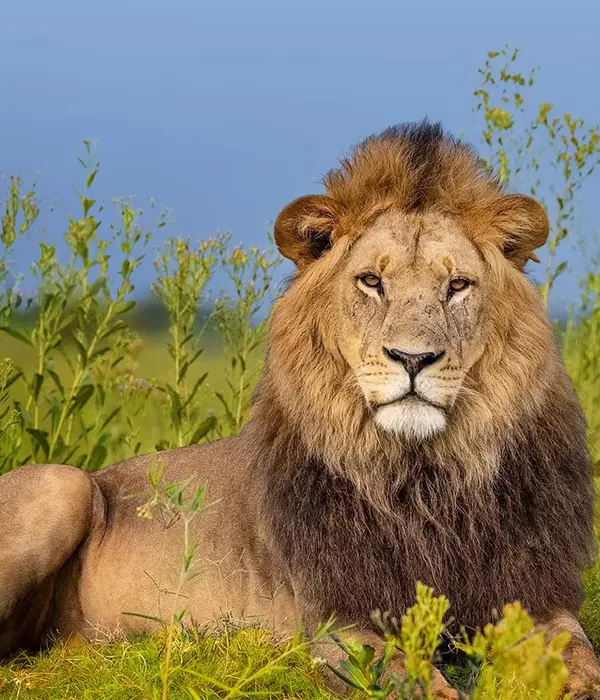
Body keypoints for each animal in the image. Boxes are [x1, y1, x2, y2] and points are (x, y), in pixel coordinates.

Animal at [0, 121, 599, 698]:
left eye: (457, 285)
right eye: (371, 281)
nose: (413, 358)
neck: (424, 479)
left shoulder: (535, 598)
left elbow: (580, 657)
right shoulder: (339, 621)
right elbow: (410, 681)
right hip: (63, 484)